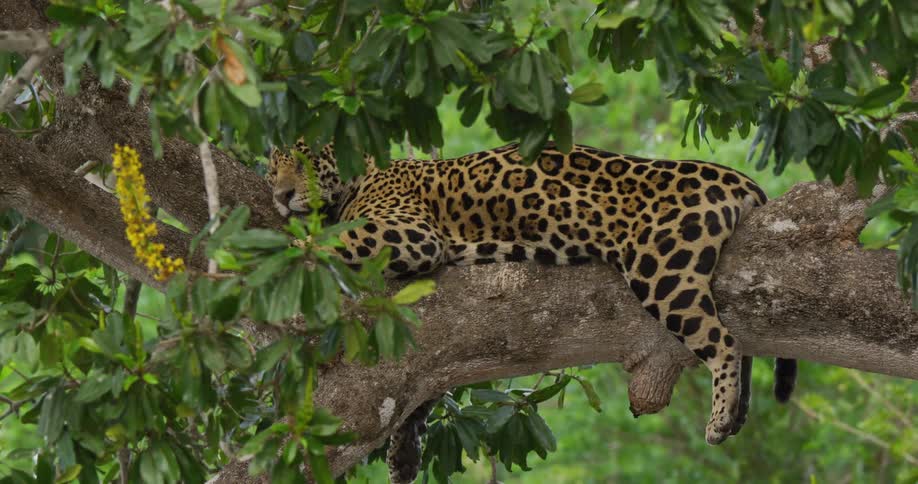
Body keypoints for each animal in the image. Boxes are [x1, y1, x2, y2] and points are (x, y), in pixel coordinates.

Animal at [267, 139, 797, 483]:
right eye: (272, 170)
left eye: (306, 160)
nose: (279, 195)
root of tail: (732, 175)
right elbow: (424, 384)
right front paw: (404, 454)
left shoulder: (411, 232)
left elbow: (332, 239)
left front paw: (277, 249)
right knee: (742, 339)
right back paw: (739, 412)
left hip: (663, 268)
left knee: (725, 342)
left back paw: (721, 417)